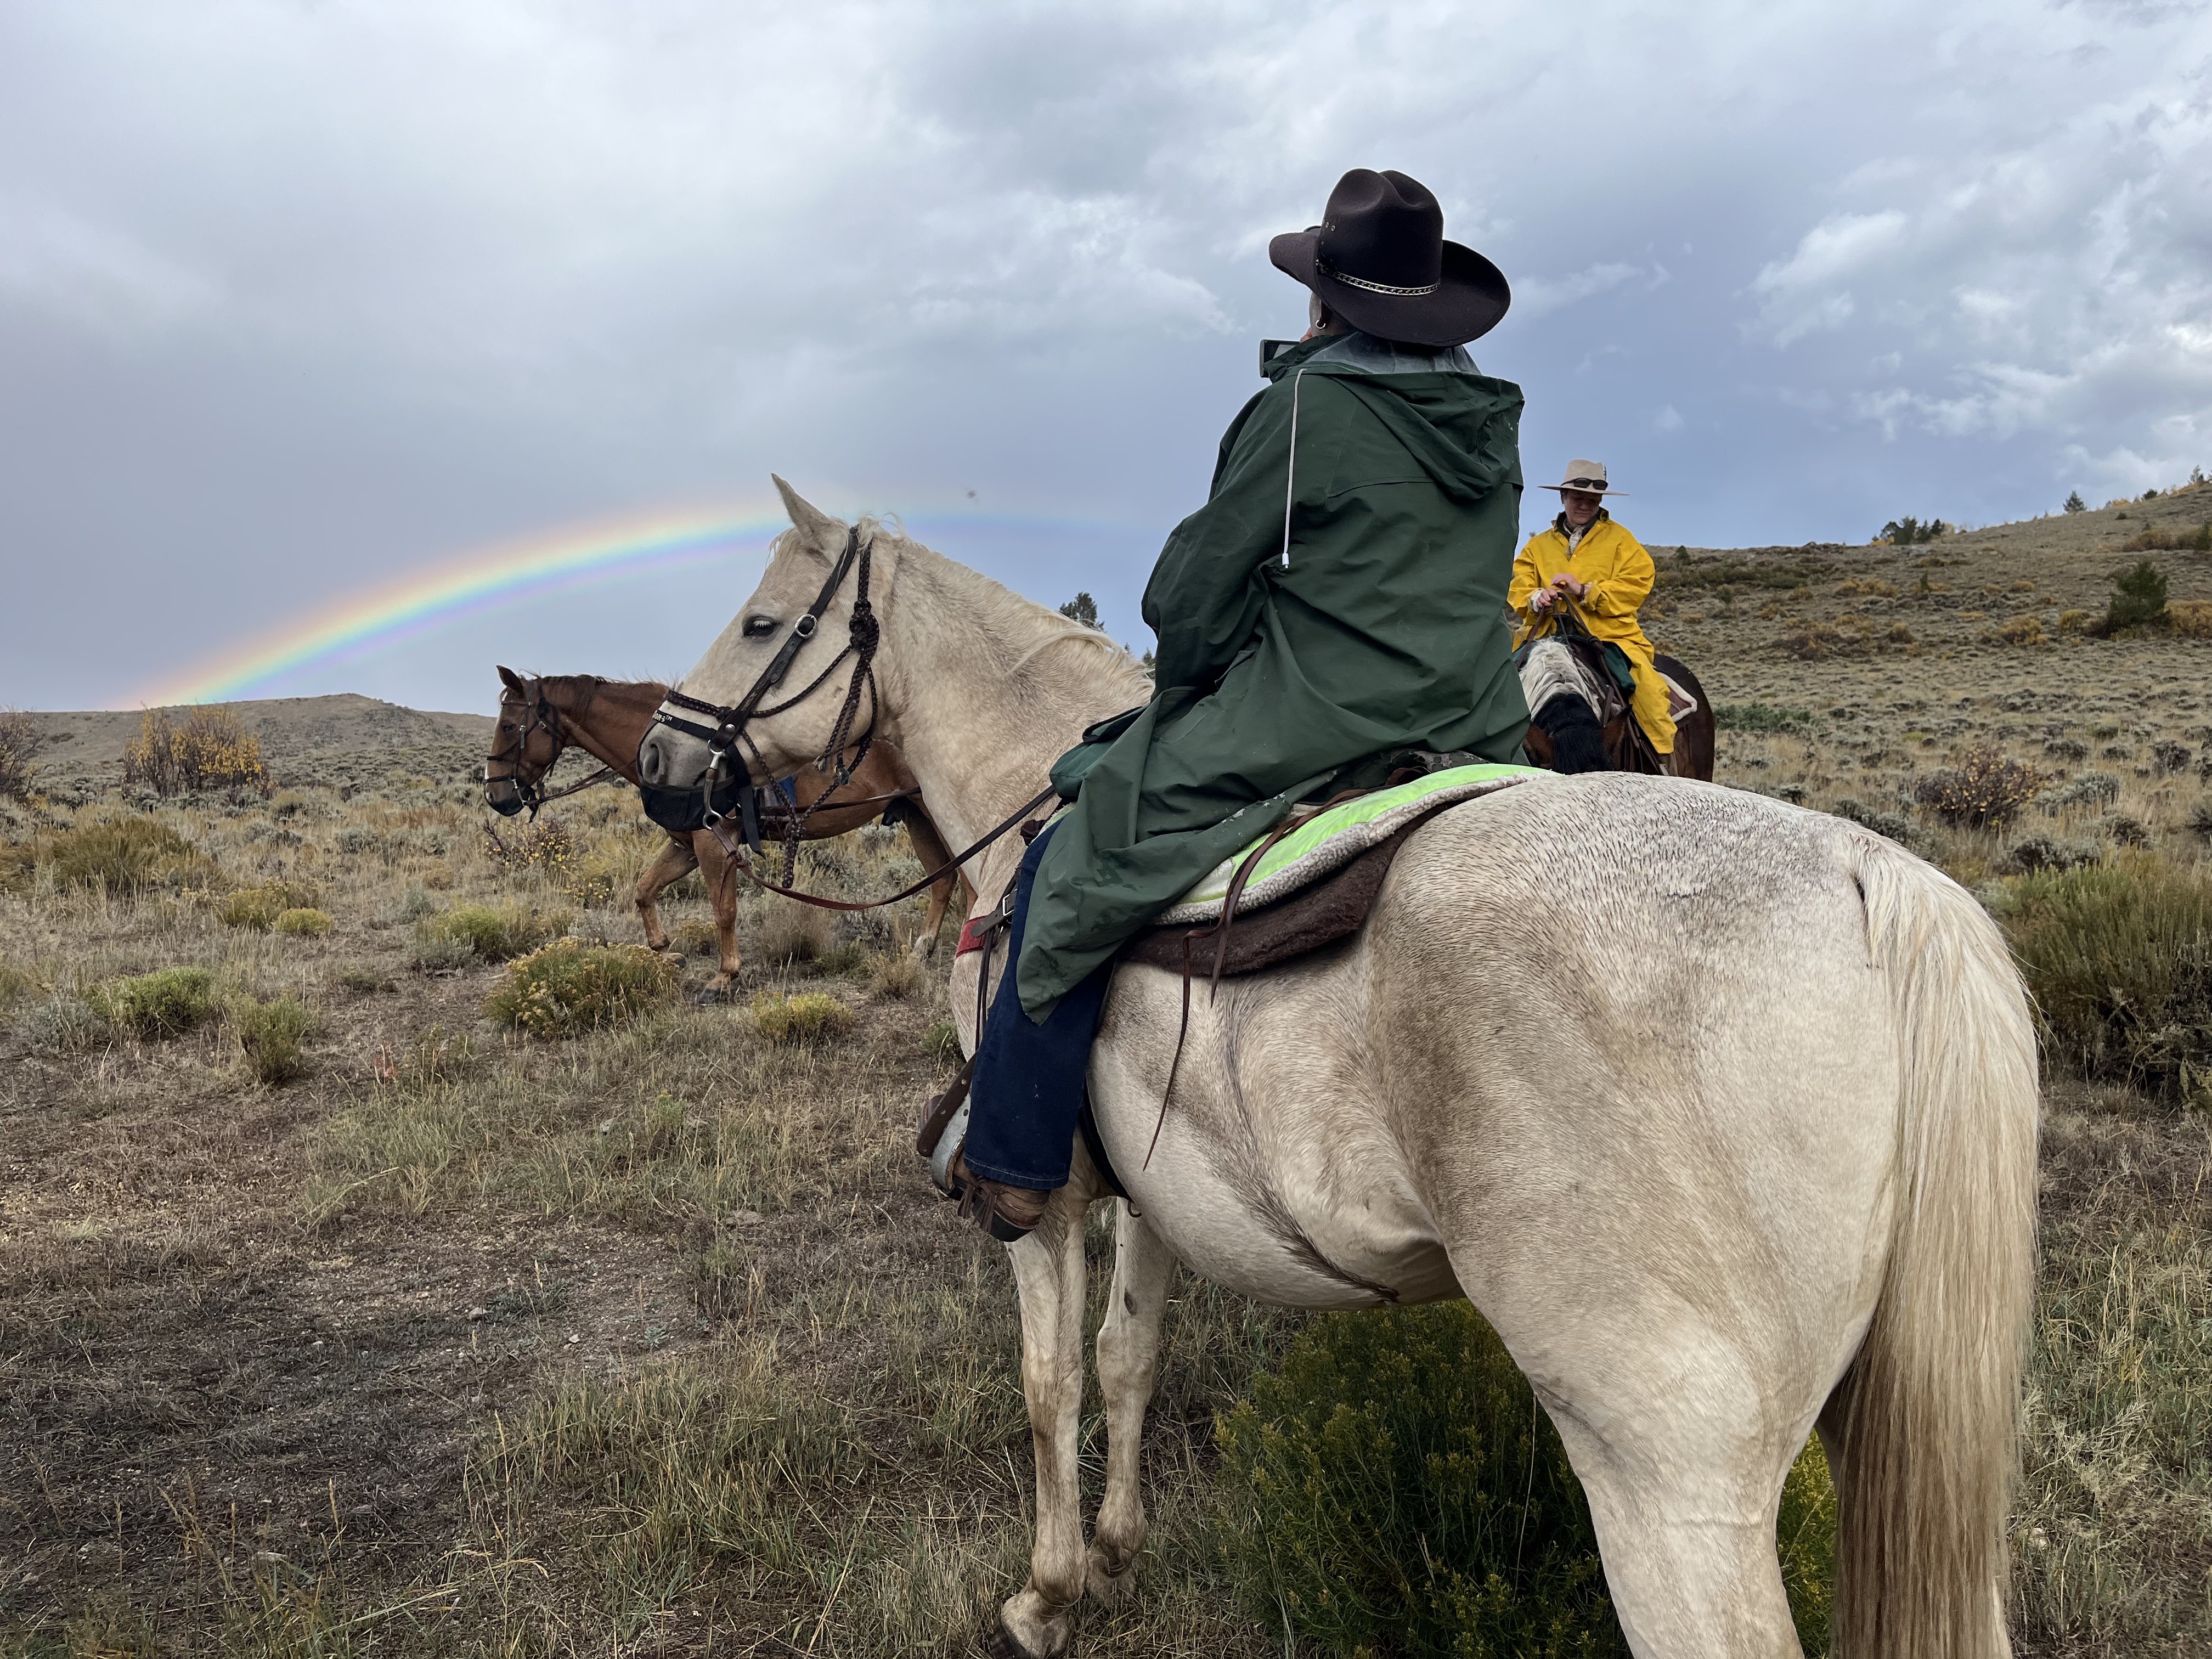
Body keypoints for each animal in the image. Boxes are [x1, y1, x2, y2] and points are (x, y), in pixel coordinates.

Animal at [484, 668, 969, 995]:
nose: (495, 796)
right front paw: (664, 949)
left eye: (508, 726)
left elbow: (724, 911)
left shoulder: (715, 844)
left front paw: (723, 976)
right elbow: (644, 890)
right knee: (944, 880)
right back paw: (924, 947)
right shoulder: (685, 845)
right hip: (916, 817)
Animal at [641, 484, 2035, 1659]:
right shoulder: (1156, 1193)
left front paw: (1046, 1595)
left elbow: (1048, 1385)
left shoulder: (1041, 1203)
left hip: (1669, 1484)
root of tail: (1871, 875)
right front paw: (1117, 1553)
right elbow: (1126, 1358)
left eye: (760, 621)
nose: (660, 763)